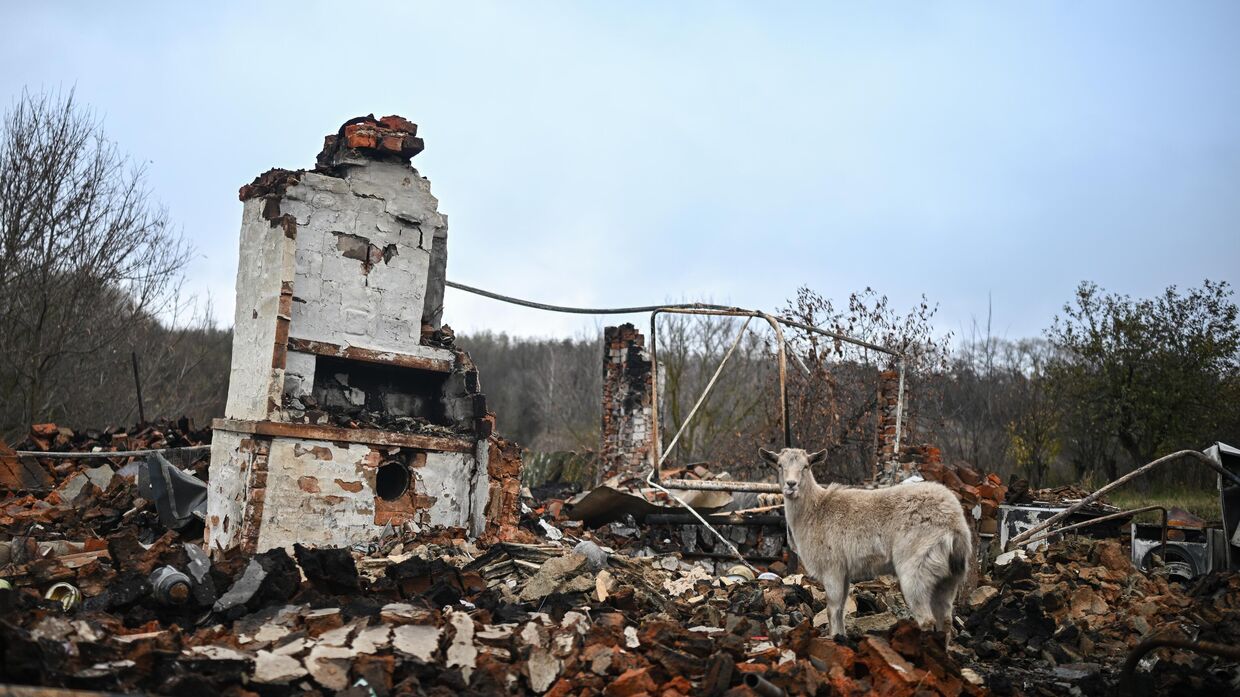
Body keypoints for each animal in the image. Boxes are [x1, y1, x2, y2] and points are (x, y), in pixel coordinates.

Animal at [758, 446, 972, 639]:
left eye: (806, 466)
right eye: (779, 465)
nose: (791, 484)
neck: (814, 511)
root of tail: (954, 524)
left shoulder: (832, 567)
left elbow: (832, 608)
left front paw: (834, 637)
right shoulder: (844, 571)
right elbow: (840, 607)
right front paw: (840, 636)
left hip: (917, 566)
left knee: (927, 619)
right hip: (948, 577)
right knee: (945, 620)